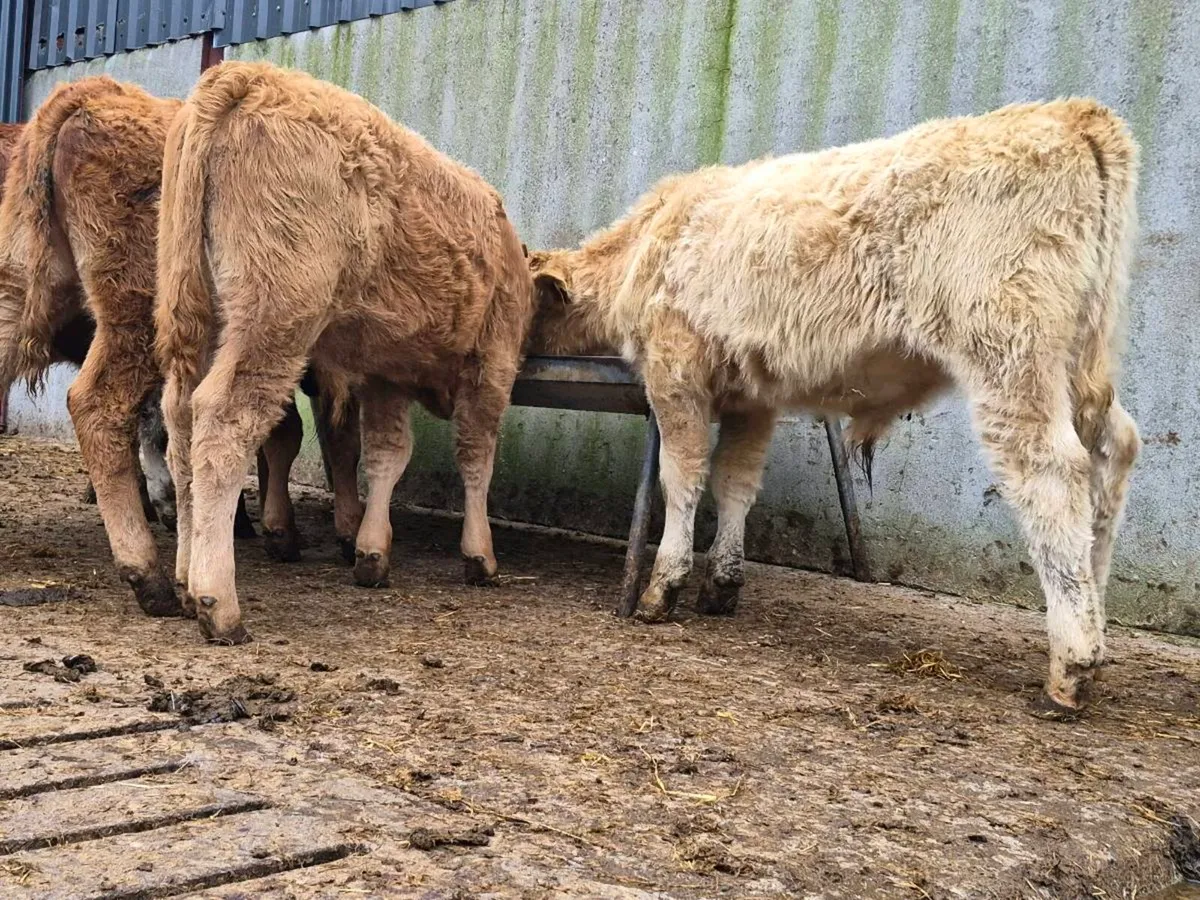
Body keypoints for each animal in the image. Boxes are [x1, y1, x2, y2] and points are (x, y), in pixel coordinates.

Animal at [0, 76, 365, 617]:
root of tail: (89, 95)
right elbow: (329, 439)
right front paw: (335, 532)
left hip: (20, 290)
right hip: (137, 318)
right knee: (99, 407)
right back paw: (148, 576)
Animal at [155, 61, 535, 644]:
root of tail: (247, 75)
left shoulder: (385, 375)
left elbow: (384, 454)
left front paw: (371, 551)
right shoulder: (491, 364)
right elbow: (475, 455)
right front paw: (480, 556)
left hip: (195, 318)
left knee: (180, 428)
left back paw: (182, 576)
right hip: (273, 320)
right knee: (223, 422)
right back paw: (218, 603)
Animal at [526, 99, 1141, 715]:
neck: (646, 243)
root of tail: (1071, 114)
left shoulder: (676, 374)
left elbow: (682, 478)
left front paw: (663, 586)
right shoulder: (753, 397)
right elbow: (735, 482)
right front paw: (722, 581)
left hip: (1010, 354)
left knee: (1052, 470)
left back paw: (1072, 661)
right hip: (1085, 360)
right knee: (1114, 455)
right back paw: (1097, 617)